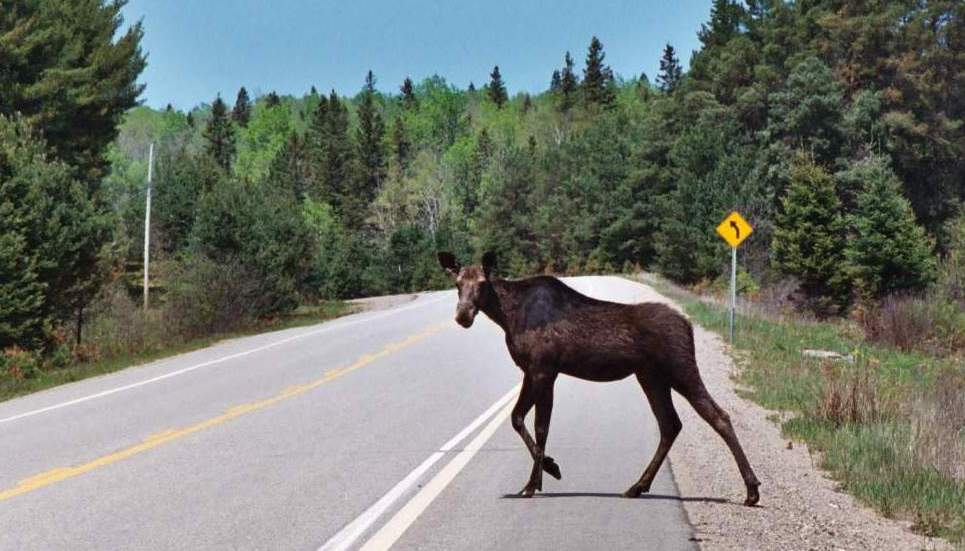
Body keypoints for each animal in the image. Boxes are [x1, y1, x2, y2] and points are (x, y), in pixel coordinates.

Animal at [436, 252, 760, 506]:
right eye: (457, 284)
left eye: (481, 284)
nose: (463, 315)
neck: (507, 316)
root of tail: (689, 325)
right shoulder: (530, 370)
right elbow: (517, 419)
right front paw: (547, 471)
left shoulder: (544, 368)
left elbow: (541, 426)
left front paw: (532, 483)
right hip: (651, 376)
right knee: (670, 424)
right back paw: (638, 486)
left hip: (680, 368)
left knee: (718, 415)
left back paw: (752, 490)